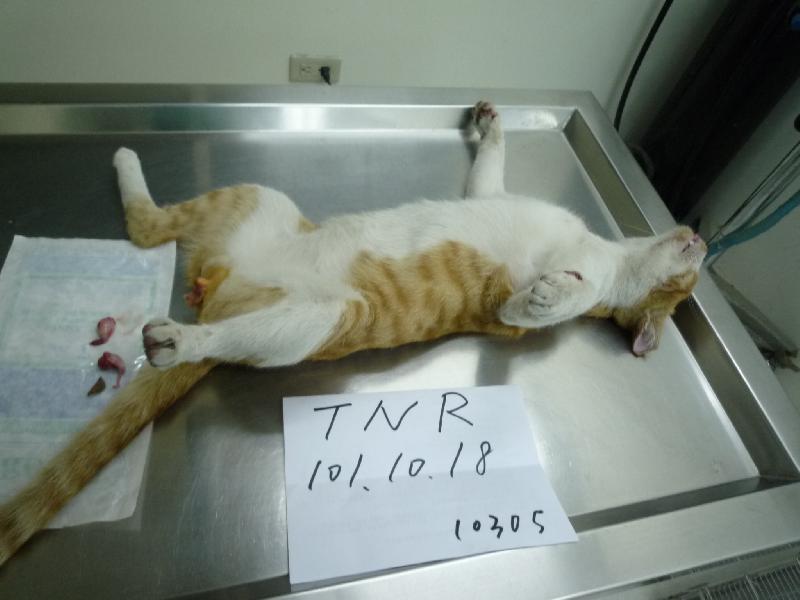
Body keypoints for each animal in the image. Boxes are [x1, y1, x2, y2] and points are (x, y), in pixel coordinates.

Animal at [0, 101, 706, 565]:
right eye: (695, 272)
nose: (700, 237)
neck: (606, 249)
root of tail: (215, 298)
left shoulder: (508, 312)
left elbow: (547, 302)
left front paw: (556, 290)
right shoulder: (492, 191)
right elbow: (491, 167)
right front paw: (490, 122)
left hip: (314, 320)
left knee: (164, 255)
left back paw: (175, 336)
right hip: (259, 202)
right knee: (149, 226)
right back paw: (128, 161)